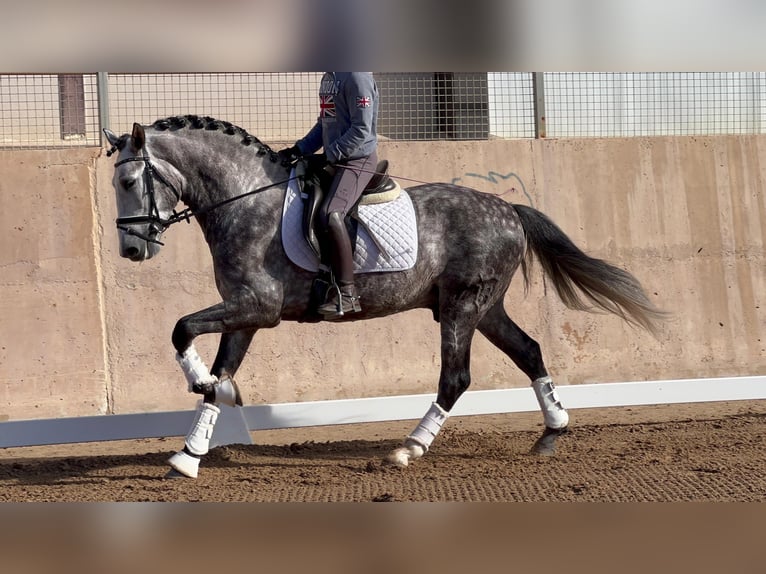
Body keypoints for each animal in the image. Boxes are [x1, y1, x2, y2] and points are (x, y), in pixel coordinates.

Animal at [103, 115, 664, 480]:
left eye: (129, 180)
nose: (132, 249)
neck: (245, 202)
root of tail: (507, 209)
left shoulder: (257, 308)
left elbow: (181, 329)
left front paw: (195, 383)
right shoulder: (245, 315)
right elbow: (219, 376)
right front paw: (189, 455)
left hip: (462, 307)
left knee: (456, 377)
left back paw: (408, 449)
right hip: (485, 307)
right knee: (529, 351)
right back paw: (552, 431)